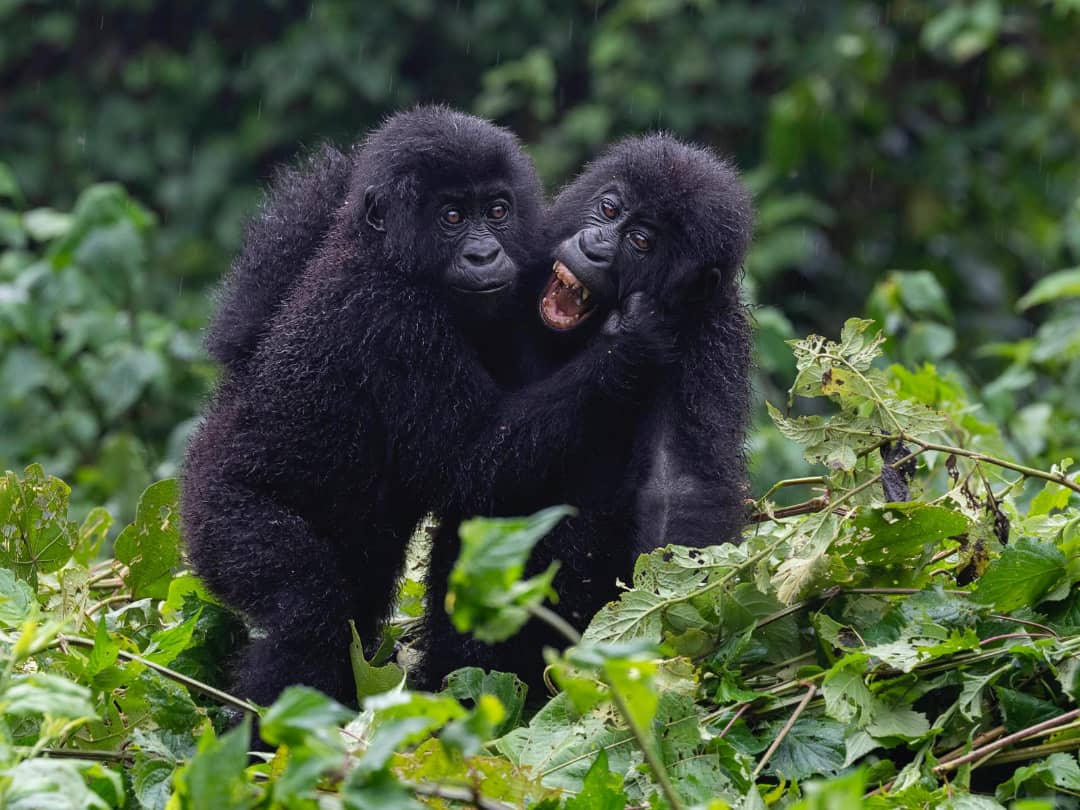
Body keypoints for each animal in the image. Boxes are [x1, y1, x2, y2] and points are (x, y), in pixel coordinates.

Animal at [181, 104, 669, 708]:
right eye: (453, 217)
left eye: (498, 211)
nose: (485, 253)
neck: (388, 256)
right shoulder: (397, 319)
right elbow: (473, 464)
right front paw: (627, 347)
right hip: (217, 515)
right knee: (304, 607)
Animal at [416, 135, 756, 691]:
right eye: (609, 209)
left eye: (641, 241)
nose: (596, 246)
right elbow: (467, 460)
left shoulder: (708, 335)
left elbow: (677, 487)